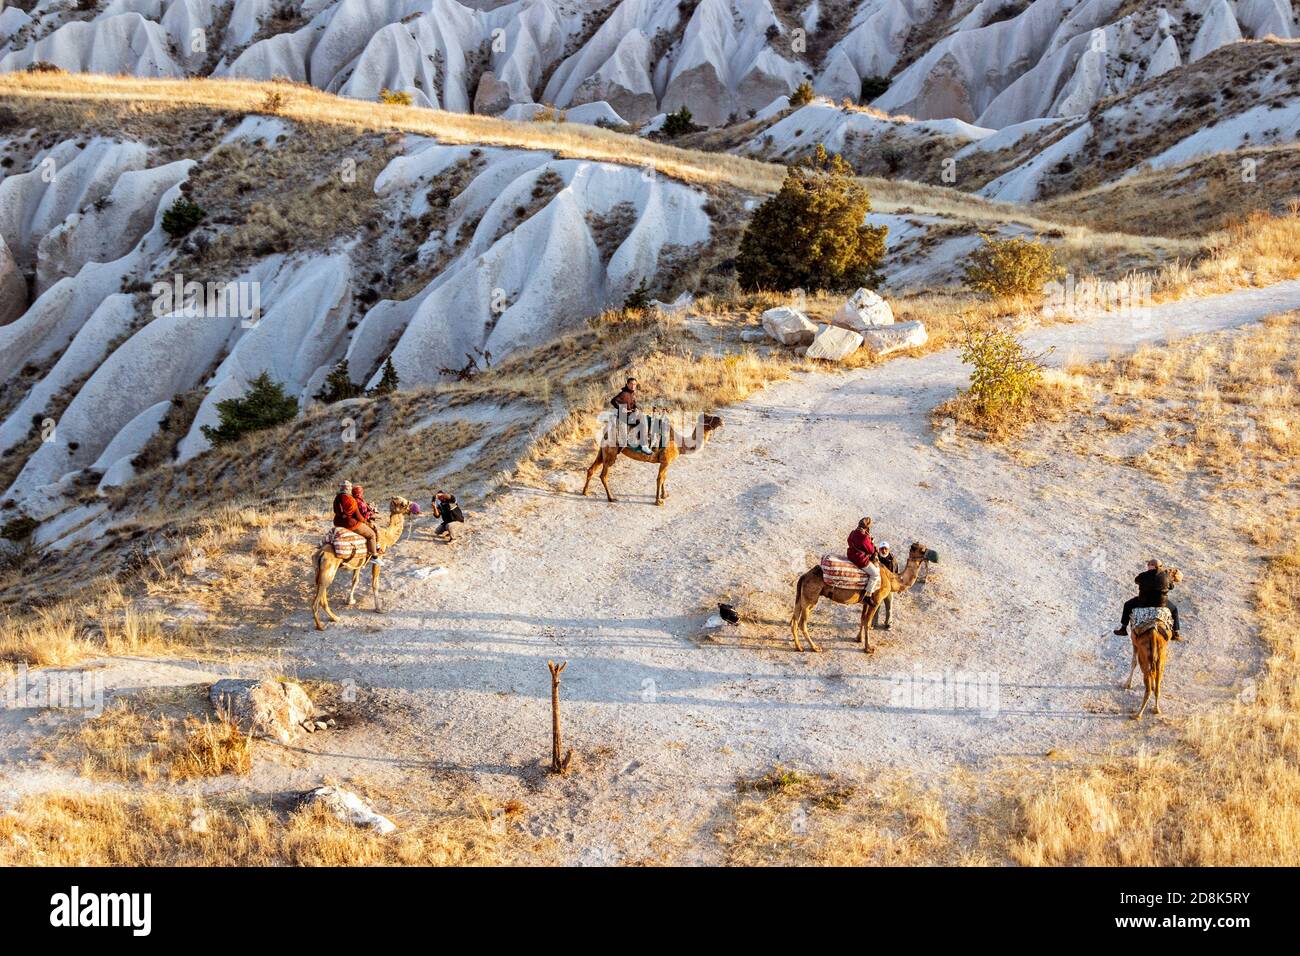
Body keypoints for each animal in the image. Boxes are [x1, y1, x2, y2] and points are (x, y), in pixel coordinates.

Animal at [311, 496, 411, 631]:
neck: (386, 535)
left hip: (320, 571)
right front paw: (379, 609)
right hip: (328, 570)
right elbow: (375, 583)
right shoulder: (378, 557)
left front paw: (350, 600)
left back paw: (333, 618)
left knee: (321, 594)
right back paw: (323, 624)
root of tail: (320, 553)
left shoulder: (359, 561)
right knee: (318, 599)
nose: (412, 507)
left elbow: (355, 580)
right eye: (403, 503)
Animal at [582, 413, 723, 506]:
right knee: (604, 475)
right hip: (611, 451)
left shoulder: (666, 462)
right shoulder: (665, 461)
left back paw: (585, 492)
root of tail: (607, 430)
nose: (721, 420)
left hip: (603, 451)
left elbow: (664, 477)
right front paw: (658, 501)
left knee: (591, 469)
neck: (679, 443)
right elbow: (659, 479)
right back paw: (611, 498)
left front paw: (664, 495)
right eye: (708, 417)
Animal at [790, 542, 929, 654]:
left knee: (794, 620)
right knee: (802, 623)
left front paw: (858, 639)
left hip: (801, 597)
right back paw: (815, 647)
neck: (890, 578)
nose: (929, 555)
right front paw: (868, 648)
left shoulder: (866, 601)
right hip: (811, 598)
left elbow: (862, 619)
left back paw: (799, 647)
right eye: (923, 550)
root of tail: (804, 576)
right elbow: (867, 623)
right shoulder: (876, 601)